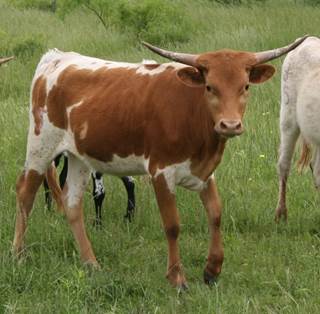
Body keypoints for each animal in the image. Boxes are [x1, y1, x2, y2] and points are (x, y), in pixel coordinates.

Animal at [13, 38, 308, 288]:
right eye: (209, 87)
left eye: (244, 87)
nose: (230, 125)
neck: (193, 112)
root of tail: (57, 58)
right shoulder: (161, 172)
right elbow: (172, 225)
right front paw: (177, 278)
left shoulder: (205, 173)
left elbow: (215, 214)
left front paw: (212, 270)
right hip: (41, 146)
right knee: (26, 194)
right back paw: (18, 254)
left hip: (79, 158)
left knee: (72, 204)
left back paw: (91, 263)